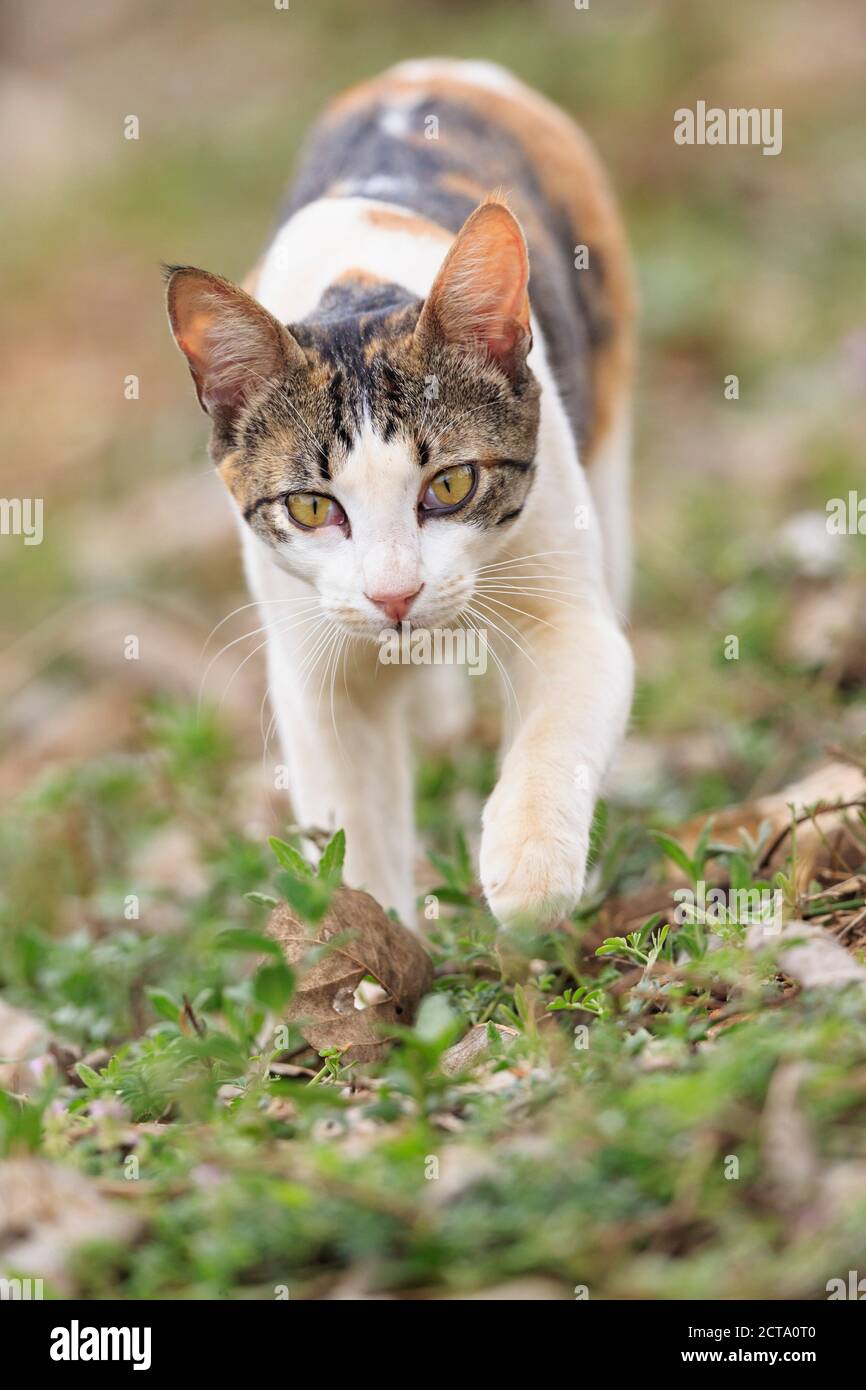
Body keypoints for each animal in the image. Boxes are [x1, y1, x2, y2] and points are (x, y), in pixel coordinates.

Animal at [166, 59, 633, 928]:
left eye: (450, 484)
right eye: (312, 506)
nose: (395, 596)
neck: (354, 293)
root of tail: (428, 70)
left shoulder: (563, 594)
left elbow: (569, 695)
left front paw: (529, 867)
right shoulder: (313, 672)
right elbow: (352, 837)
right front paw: (372, 951)